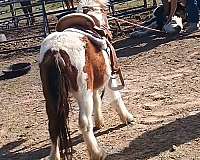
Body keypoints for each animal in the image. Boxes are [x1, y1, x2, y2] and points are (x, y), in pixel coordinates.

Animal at [38, 0, 133, 159]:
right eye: (105, 11)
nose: (108, 31)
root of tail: (56, 50)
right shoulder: (109, 78)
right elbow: (116, 98)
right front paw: (127, 117)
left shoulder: (93, 85)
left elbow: (97, 99)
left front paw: (99, 121)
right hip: (83, 94)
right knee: (83, 122)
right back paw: (96, 152)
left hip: (51, 98)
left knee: (53, 125)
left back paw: (55, 156)